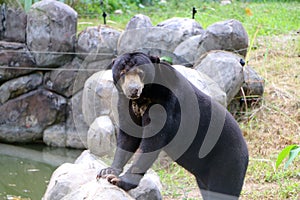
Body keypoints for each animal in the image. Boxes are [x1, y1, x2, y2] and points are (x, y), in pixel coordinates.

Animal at [96, 52, 248, 199]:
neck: (143, 97)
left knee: (223, 188)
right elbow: (128, 136)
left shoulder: (166, 103)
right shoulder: (126, 104)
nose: (133, 90)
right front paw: (106, 171)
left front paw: (118, 180)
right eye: (122, 72)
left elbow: (152, 142)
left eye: (141, 72)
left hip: (226, 161)